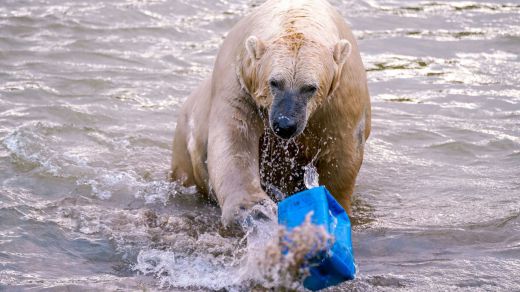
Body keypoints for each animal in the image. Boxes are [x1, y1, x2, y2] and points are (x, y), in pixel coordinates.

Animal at [170, 0, 370, 226]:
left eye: (310, 88)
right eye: (274, 82)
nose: (285, 125)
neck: (297, 13)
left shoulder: (342, 95)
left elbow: (342, 153)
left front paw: (333, 208)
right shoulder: (238, 80)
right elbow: (235, 139)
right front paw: (256, 210)